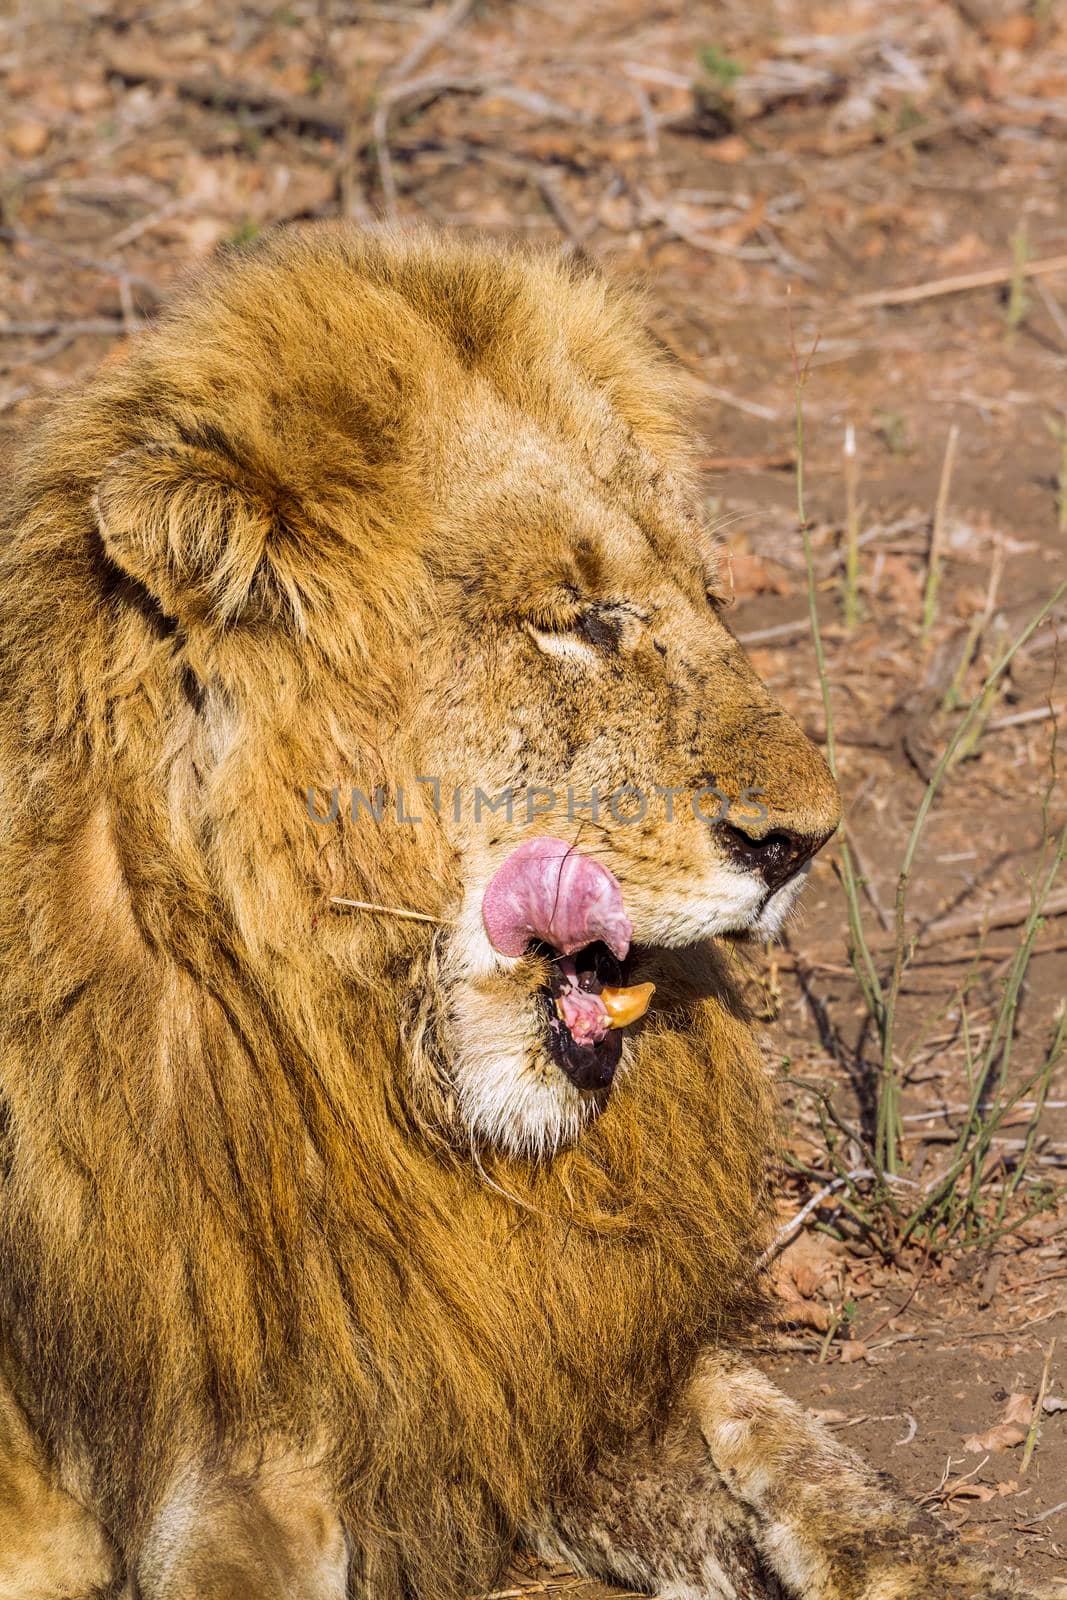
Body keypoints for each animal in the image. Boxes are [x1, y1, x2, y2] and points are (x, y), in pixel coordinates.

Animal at [0, 228, 1049, 1600]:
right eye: (577, 622)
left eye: (709, 595)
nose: (803, 843)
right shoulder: (228, 1454)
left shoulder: (538, 1370)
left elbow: (802, 1452)